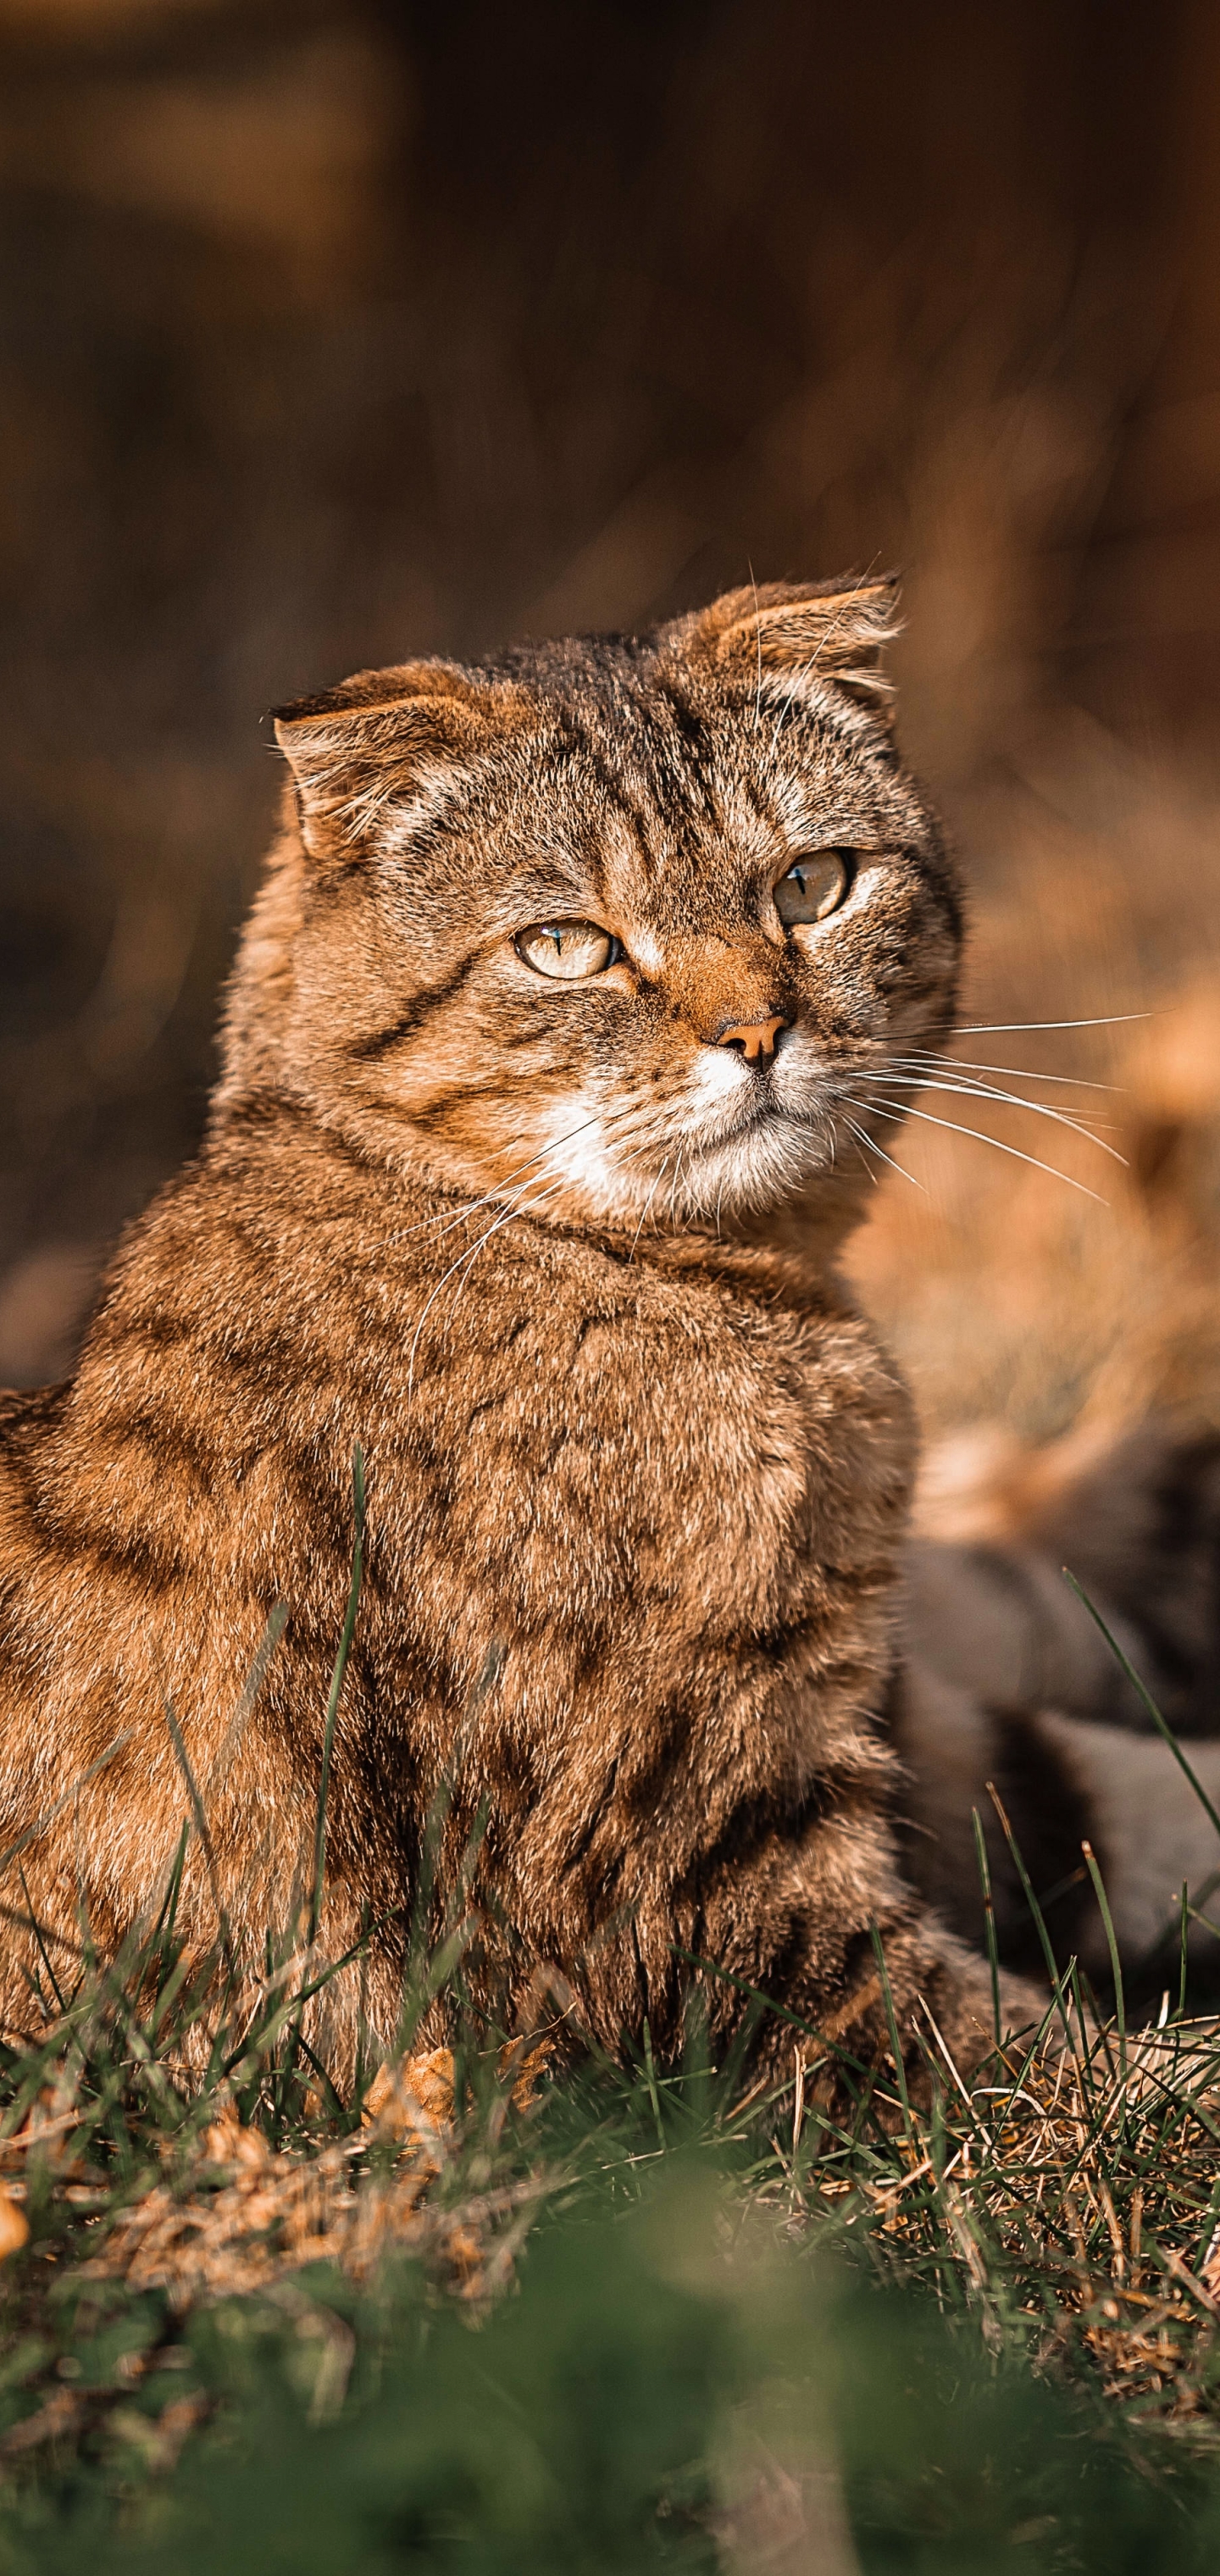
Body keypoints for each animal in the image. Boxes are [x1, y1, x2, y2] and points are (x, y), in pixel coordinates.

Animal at [2, 574, 1209, 2081]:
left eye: (810, 884)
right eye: (567, 946)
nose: (758, 1031)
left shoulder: (873, 1724)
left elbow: (1108, 1789)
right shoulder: (705, 1917)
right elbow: (1087, 2071)